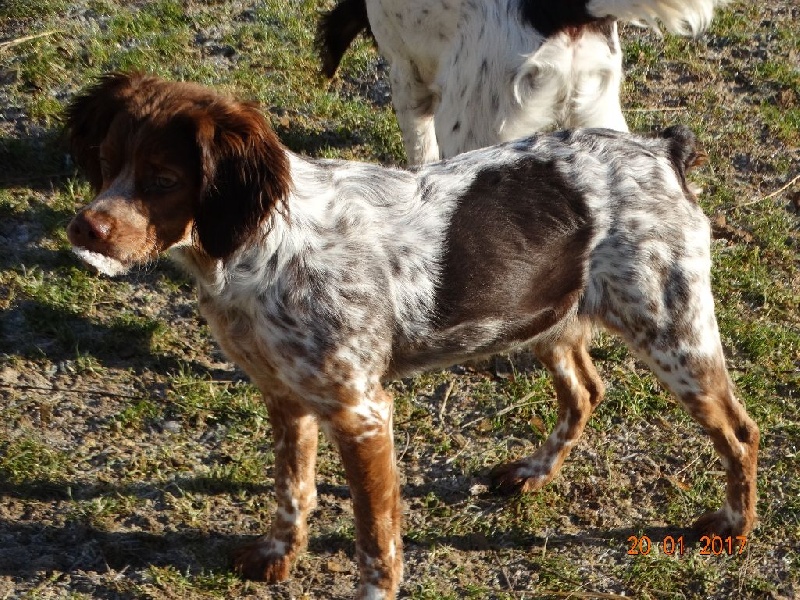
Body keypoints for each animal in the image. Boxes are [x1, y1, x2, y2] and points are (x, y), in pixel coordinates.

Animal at [66, 72, 757, 599]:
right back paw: (534, 470)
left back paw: (731, 525)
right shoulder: (286, 397)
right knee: (587, 390)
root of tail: (663, 150)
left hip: (672, 333)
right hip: (545, 316)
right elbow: (293, 490)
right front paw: (277, 555)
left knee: (741, 431)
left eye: (163, 179)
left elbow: (376, 539)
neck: (261, 249)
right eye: (106, 163)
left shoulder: (363, 412)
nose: (84, 229)